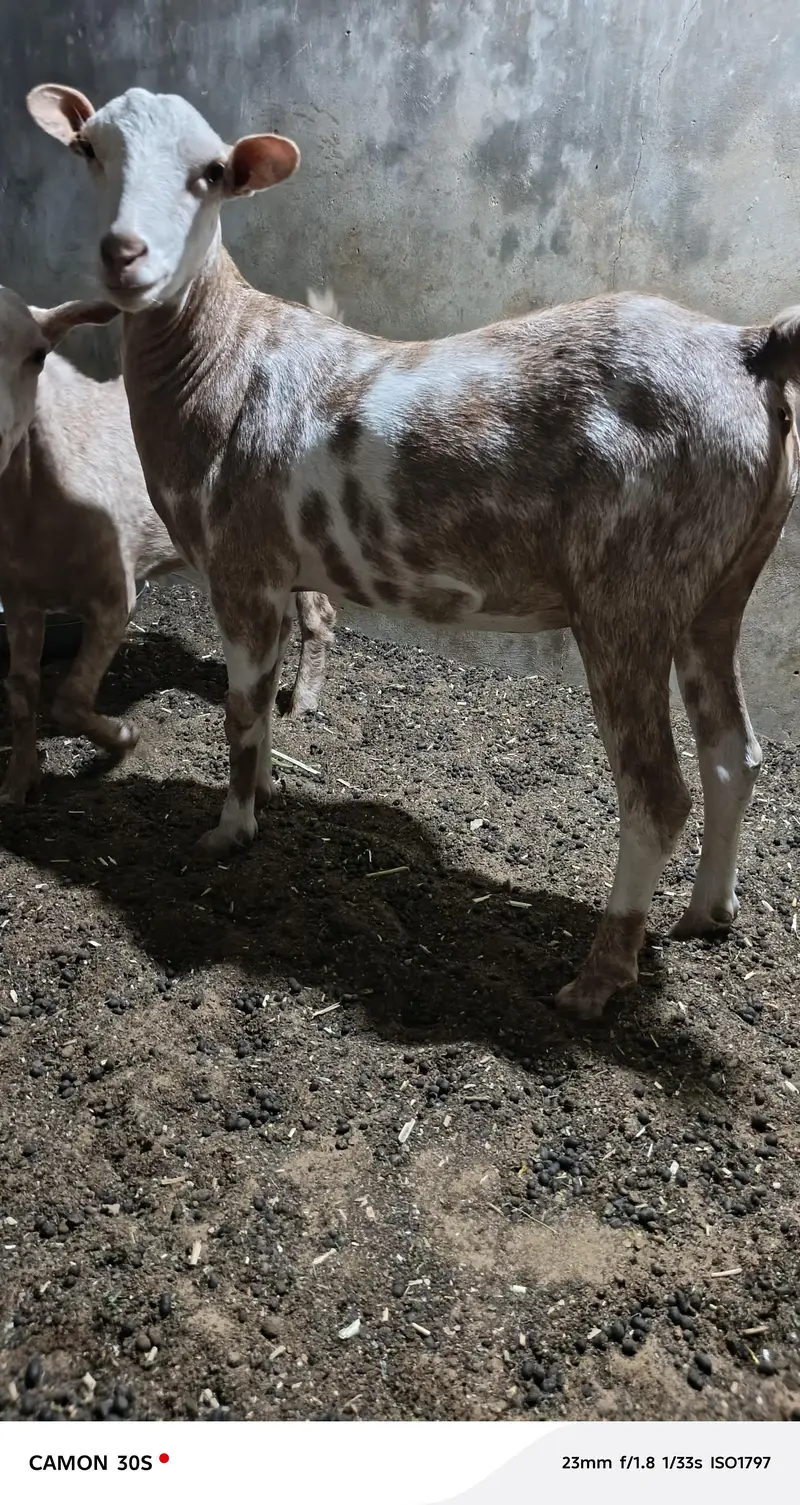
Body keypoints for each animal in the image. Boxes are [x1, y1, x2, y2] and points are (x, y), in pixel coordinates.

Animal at [0, 283, 336, 803]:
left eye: (38, 355)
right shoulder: (19, 598)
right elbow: (21, 690)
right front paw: (19, 782)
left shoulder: (115, 594)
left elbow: (69, 701)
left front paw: (122, 739)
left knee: (319, 617)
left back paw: (303, 704)